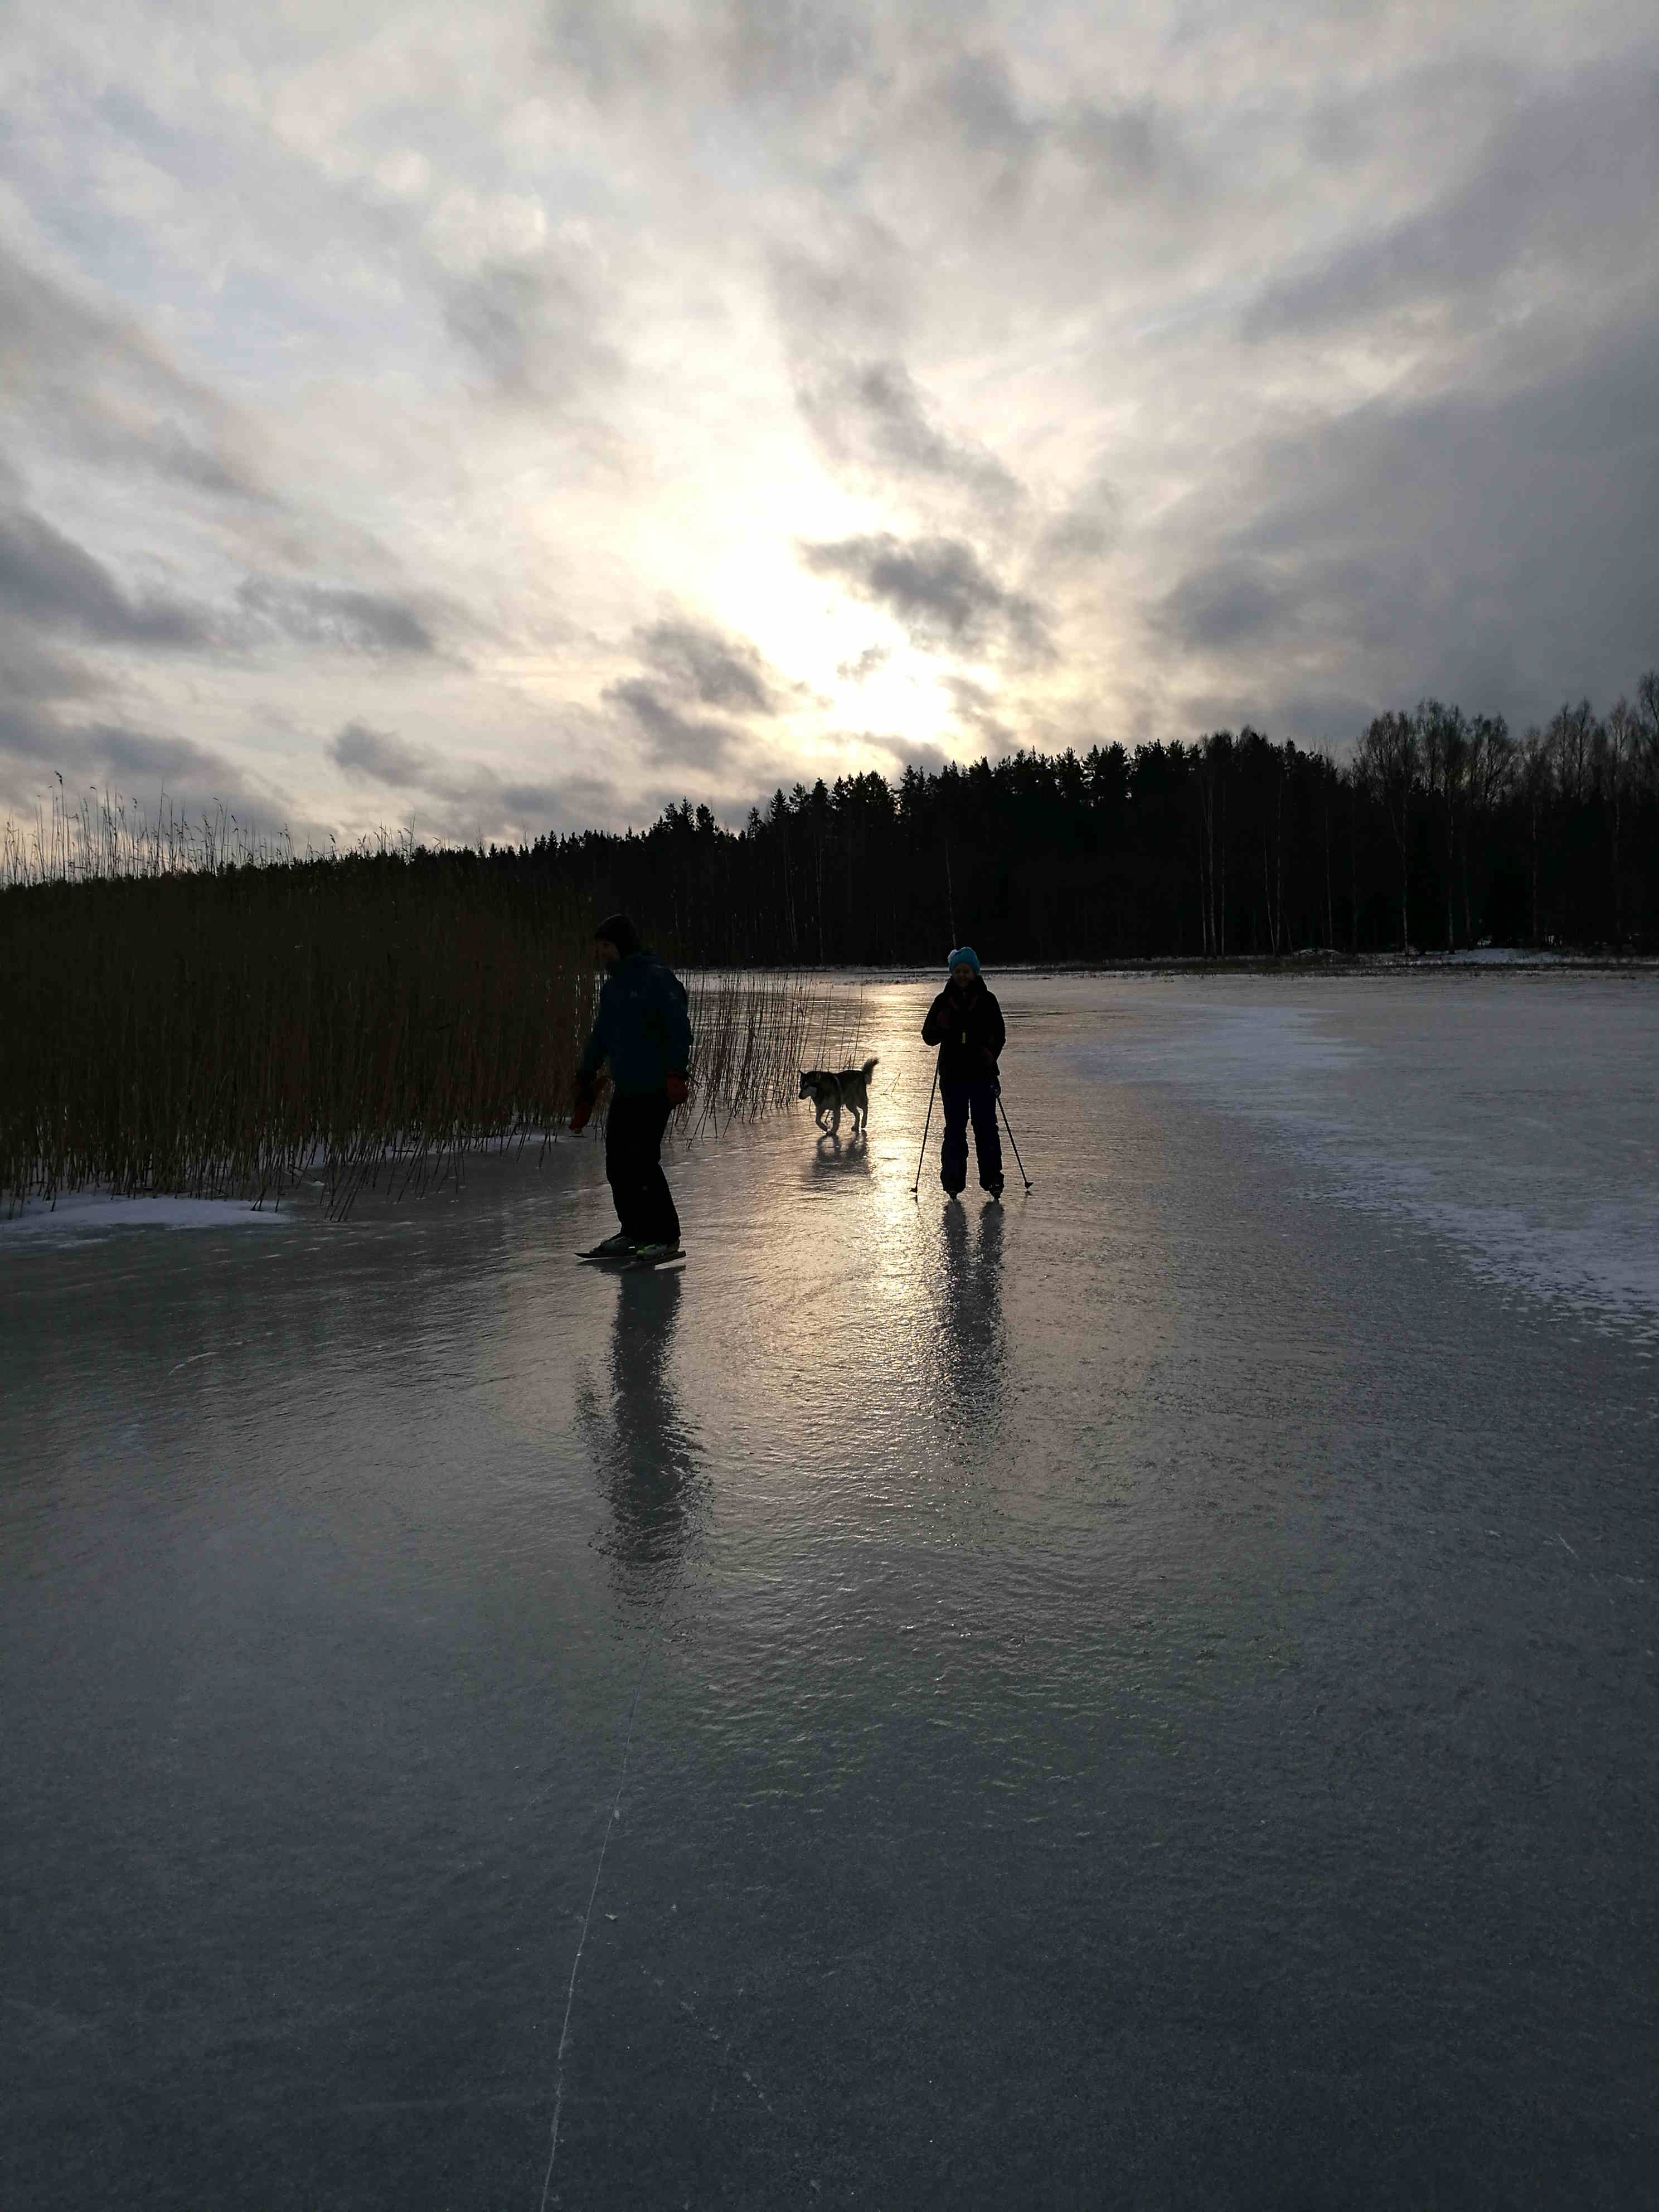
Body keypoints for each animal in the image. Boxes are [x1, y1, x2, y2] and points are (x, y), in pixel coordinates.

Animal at [801, 1057, 885, 1141]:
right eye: (801, 1086)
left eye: (807, 1086)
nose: (799, 1096)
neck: (821, 1091)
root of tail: (861, 1073)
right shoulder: (821, 1108)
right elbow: (817, 1121)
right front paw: (824, 1128)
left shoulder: (836, 1108)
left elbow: (835, 1122)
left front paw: (832, 1131)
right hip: (850, 1105)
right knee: (857, 1114)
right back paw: (856, 1126)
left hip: (859, 1100)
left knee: (865, 1109)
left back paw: (864, 1122)